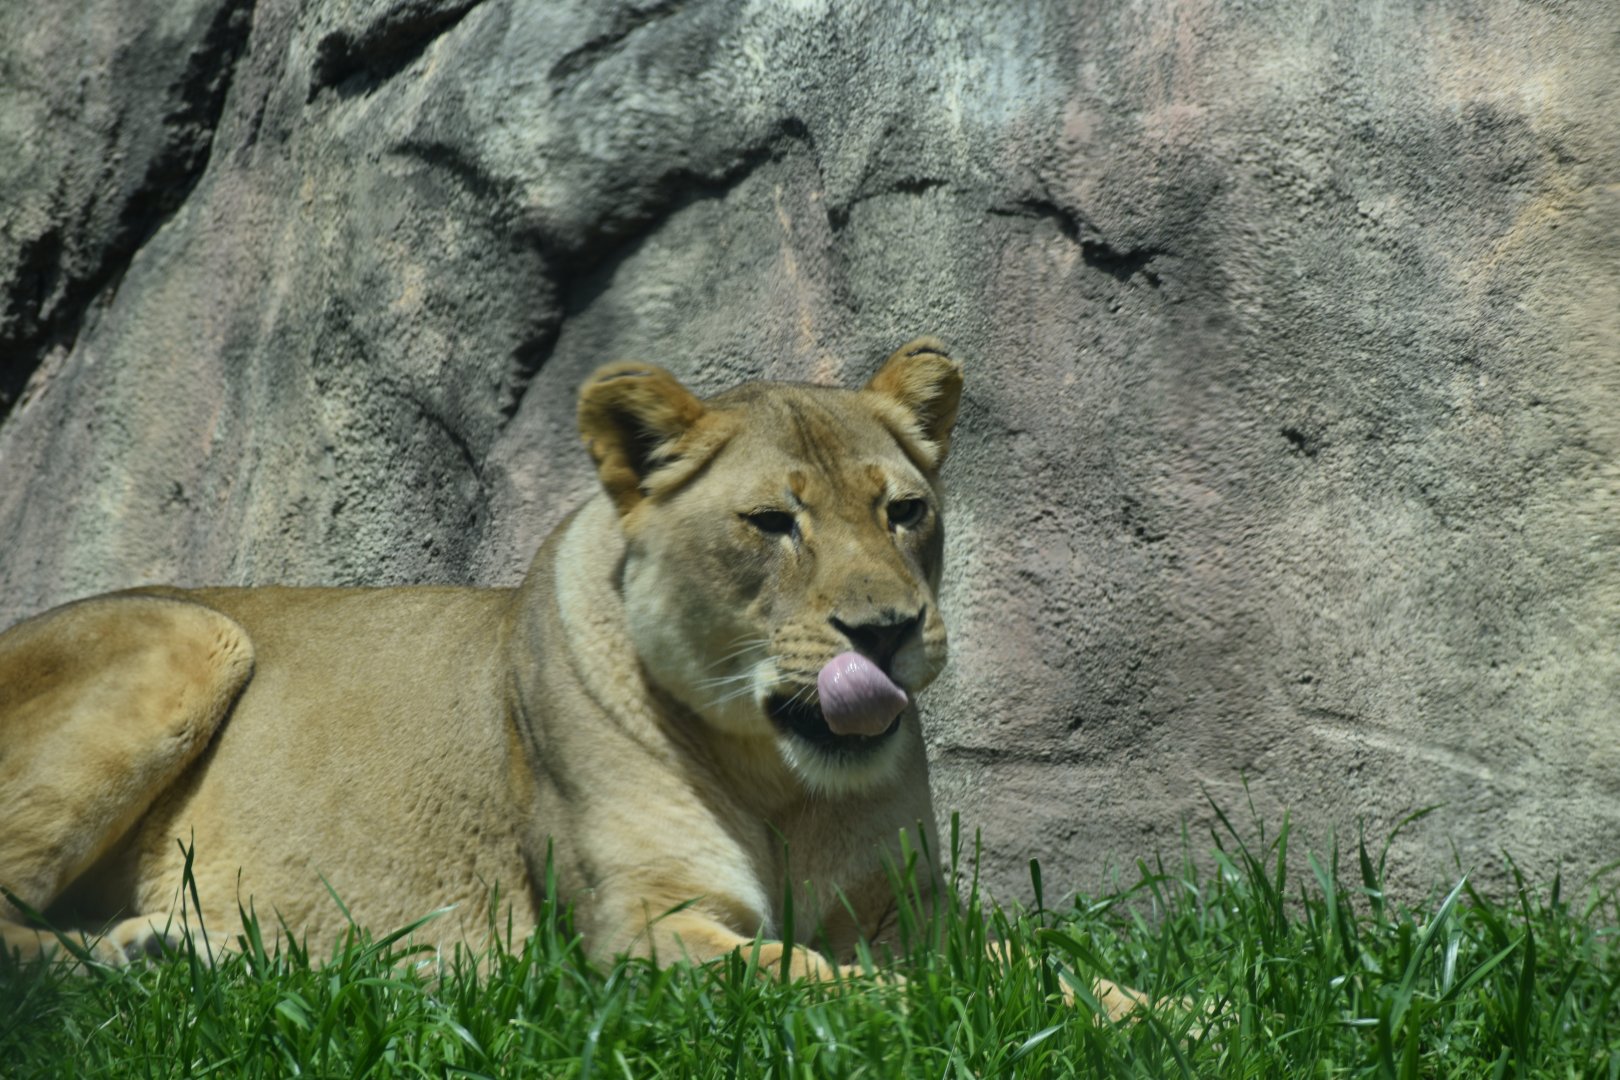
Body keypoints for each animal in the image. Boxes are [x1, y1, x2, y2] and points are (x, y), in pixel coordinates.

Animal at [0, 338, 1144, 1017]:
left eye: (903, 511)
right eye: (772, 522)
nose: (890, 632)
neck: (781, 782)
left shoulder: (913, 917)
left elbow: (1054, 969)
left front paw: (1167, 1017)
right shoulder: (641, 932)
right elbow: (860, 989)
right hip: (193, 632)